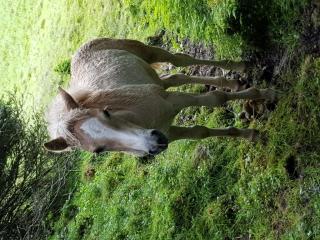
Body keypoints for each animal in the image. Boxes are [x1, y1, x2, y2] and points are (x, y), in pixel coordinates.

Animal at [43, 38, 276, 157]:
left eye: (106, 112)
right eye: (98, 151)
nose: (154, 143)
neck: (140, 119)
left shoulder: (172, 101)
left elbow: (216, 99)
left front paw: (267, 94)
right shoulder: (169, 132)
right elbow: (200, 132)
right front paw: (252, 135)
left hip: (151, 53)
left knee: (180, 60)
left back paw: (239, 67)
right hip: (156, 80)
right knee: (176, 77)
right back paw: (234, 83)